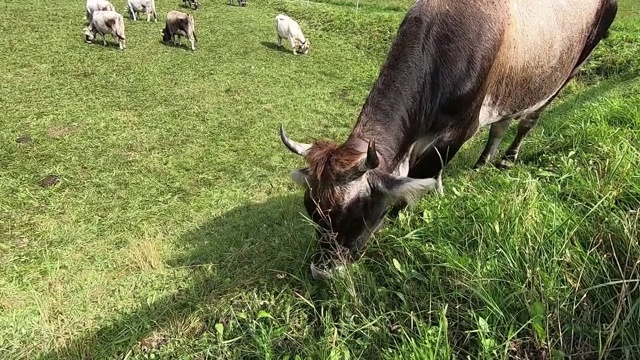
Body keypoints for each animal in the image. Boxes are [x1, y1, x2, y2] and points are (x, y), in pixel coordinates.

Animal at [278, 0, 616, 280]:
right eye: (312, 211)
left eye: (357, 213)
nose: (322, 272)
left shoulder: (459, 131)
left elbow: (424, 174)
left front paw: (405, 213)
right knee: (502, 124)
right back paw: (482, 164)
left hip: (569, 70)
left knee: (527, 121)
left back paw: (508, 159)